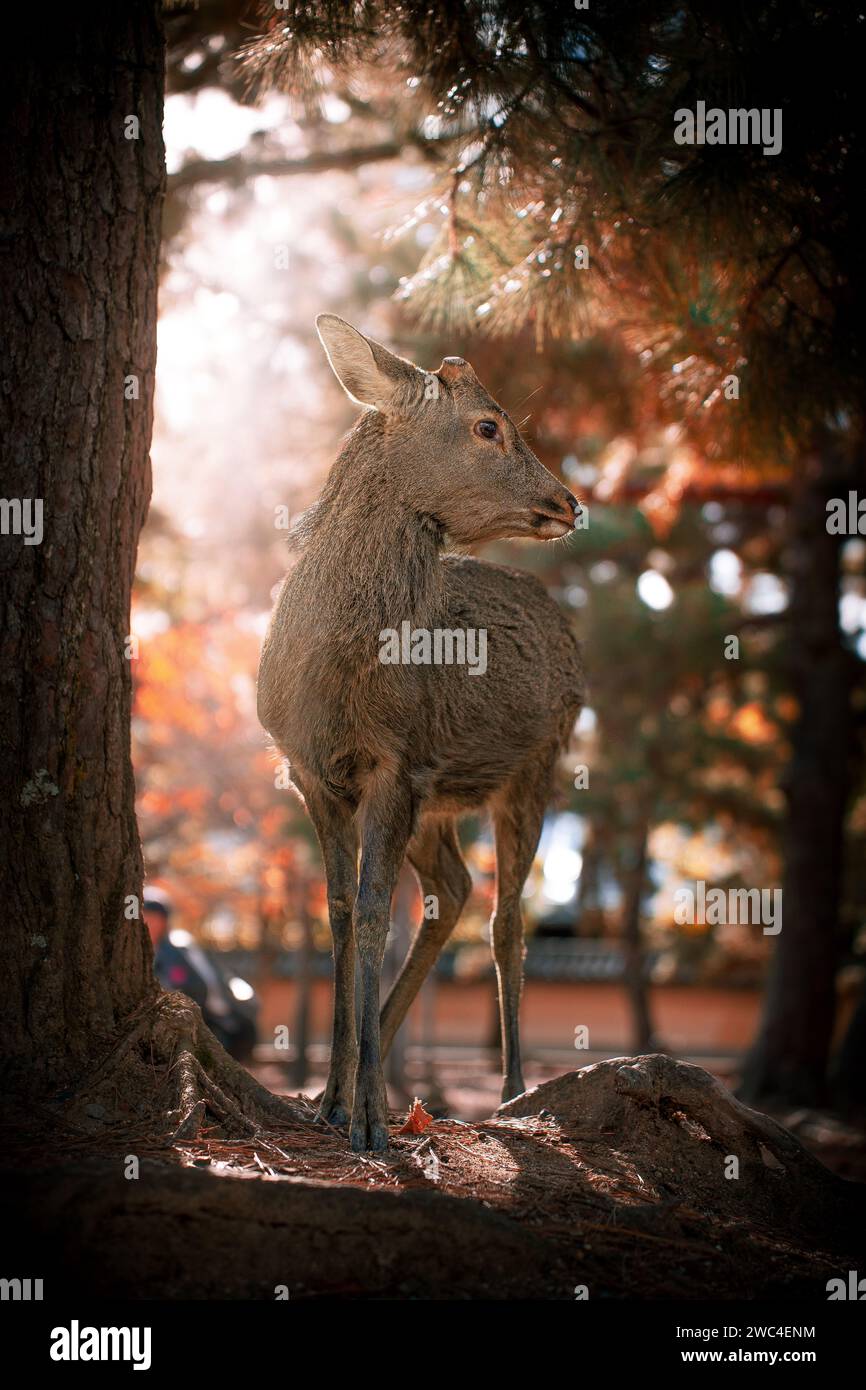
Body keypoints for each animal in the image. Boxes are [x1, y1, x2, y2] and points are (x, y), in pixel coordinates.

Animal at [257, 315, 585, 1151]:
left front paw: (369, 1117)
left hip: (536, 762)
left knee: (506, 920)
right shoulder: (311, 774)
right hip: (441, 801)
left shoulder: (395, 766)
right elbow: (341, 915)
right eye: (489, 426)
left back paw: (511, 1091)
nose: (570, 502)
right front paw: (329, 1100)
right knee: (456, 888)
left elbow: (375, 913)